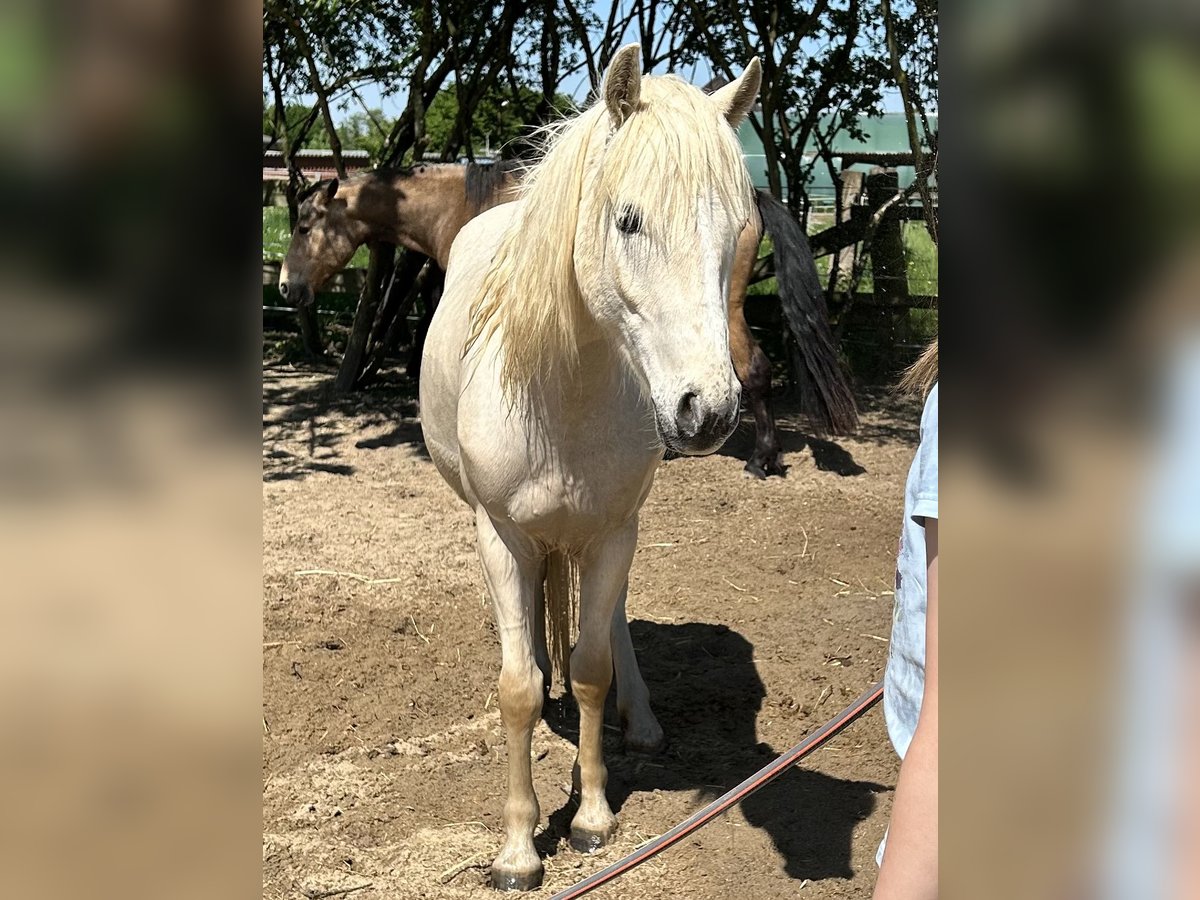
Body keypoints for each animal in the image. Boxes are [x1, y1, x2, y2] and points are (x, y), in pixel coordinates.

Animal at [277, 153, 856, 481]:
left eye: (304, 226)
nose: (286, 286)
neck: (458, 206)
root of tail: (750, 195)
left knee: (752, 371)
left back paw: (762, 459)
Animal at [418, 45, 762, 891]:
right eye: (628, 219)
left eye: (736, 230)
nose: (709, 411)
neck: (562, 392)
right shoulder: (503, 536)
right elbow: (515, 687)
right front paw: (517, 848)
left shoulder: (611, 532)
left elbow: (595, 664)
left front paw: (594, 814)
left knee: (609, 625)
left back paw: (637, 720)